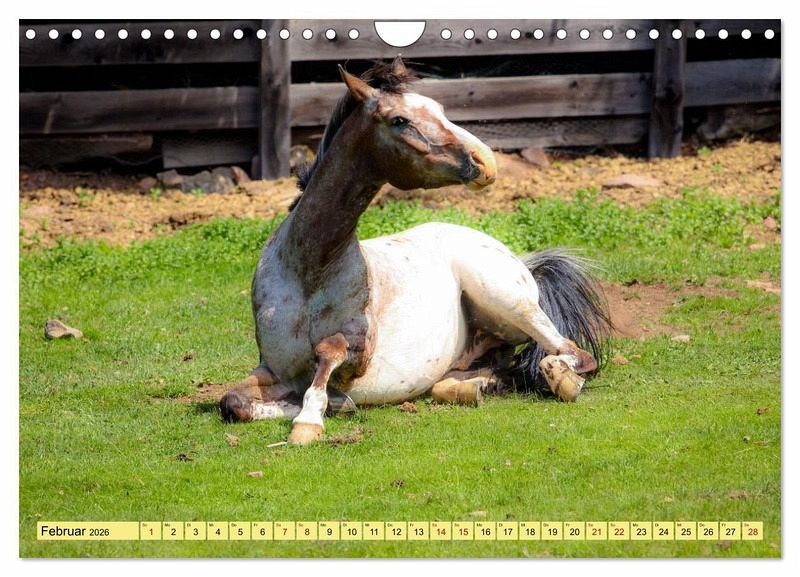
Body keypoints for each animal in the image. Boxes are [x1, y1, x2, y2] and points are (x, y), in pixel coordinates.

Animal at [220, 57, 612, 445]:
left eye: (439, 109)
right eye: (400, 120)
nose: (485, 162)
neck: (308, 270)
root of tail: (522, 263)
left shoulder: (357, 353)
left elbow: (327, 355)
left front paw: (312, 418)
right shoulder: (272, 368)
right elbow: (233, 402)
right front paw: (329, 405)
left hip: (509, 301)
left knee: (570, 353)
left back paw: (560, 378)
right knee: (494, 368)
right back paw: (470, 387)